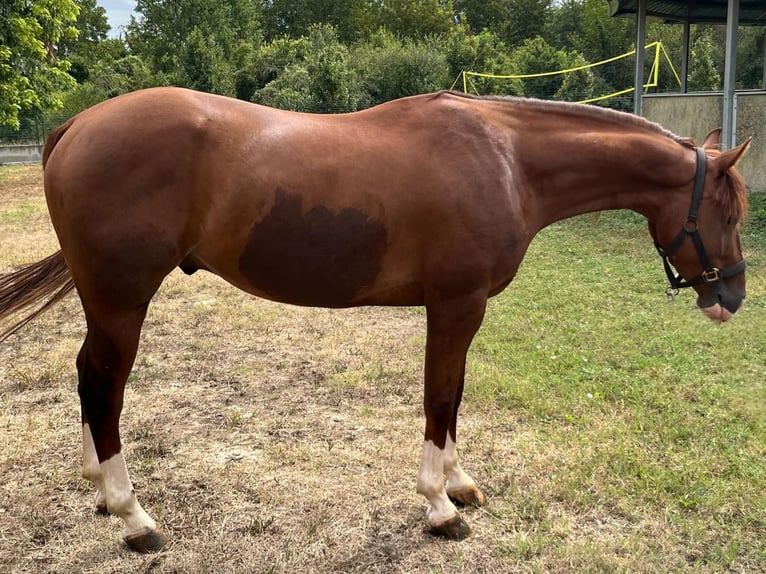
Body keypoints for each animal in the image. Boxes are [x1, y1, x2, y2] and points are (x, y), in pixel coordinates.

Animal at [0, 90, 752, 552]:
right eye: (729, 213)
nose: (734, 298)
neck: (506, 159)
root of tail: (78, 126)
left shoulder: (462, 311)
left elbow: (453, 399)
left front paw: (459, 485)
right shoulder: (456, 305)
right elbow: (439, 397)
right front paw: (438, 506)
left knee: (90, 382)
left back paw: (104, 497)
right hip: (121, 301)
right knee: (103, 388)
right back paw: (133, 518)